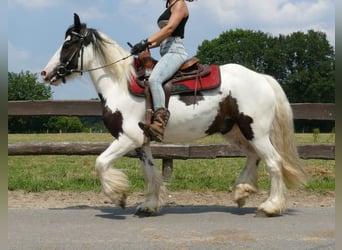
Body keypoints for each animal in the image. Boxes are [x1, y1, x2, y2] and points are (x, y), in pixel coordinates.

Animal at [40, 14, 308, 217]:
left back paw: (270, 206)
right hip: (235, 131)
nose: (45, 73)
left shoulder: (127, 138)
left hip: (256, 131)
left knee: (274, 162)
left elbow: (101, 162)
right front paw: (148, 205)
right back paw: (242, 191)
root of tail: (262, 78)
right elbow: (150, 173)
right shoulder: (141, 141)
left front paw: (119, 196)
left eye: (68, 44)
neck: (119, 84)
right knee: (254, 156)